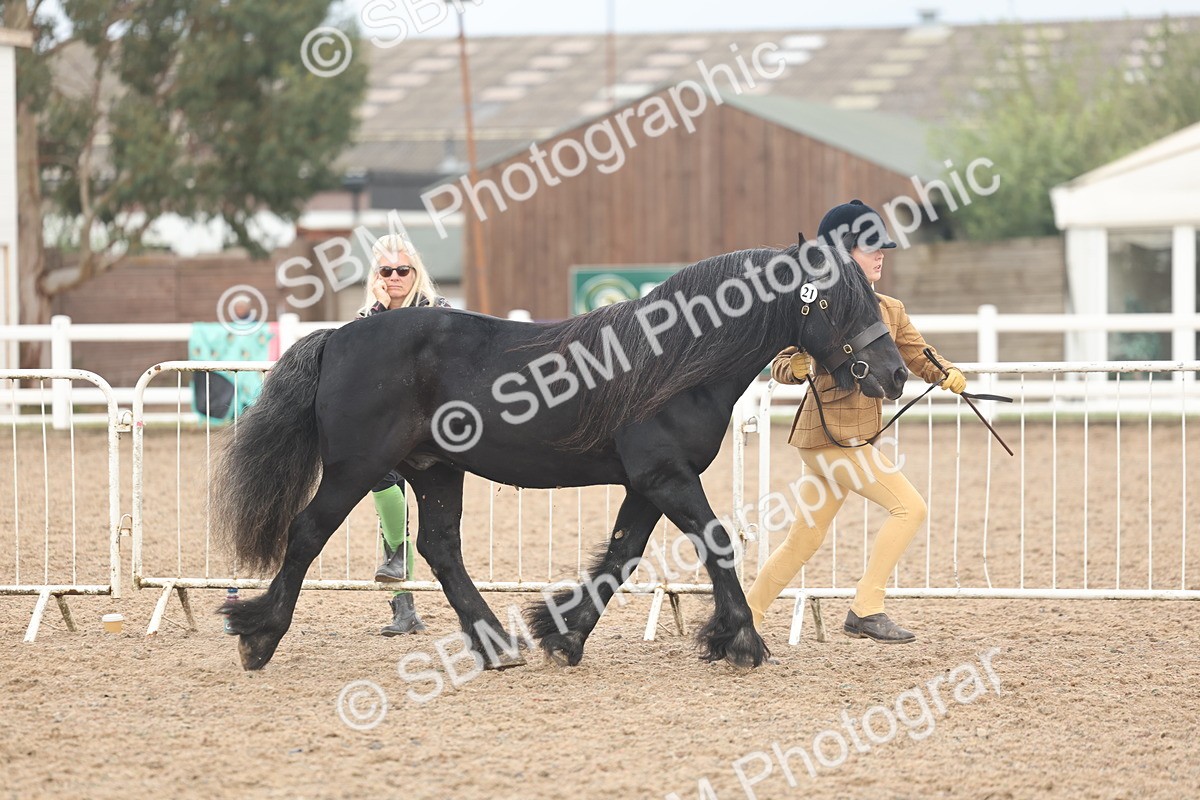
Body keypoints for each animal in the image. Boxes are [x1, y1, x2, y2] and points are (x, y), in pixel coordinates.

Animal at [215, 240, 908, 671]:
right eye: (838, 303)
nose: (895, 374)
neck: (673, 362)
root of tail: (338, 337)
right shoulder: (665, 474)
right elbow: (714, 541)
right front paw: (739, 639)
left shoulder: (647, 482)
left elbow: (623, 556)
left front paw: (564, 632)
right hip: (355, 469)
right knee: (307, 533)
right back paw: (259, 634)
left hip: (437, 470)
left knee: (440, 548)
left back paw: (497, 644)